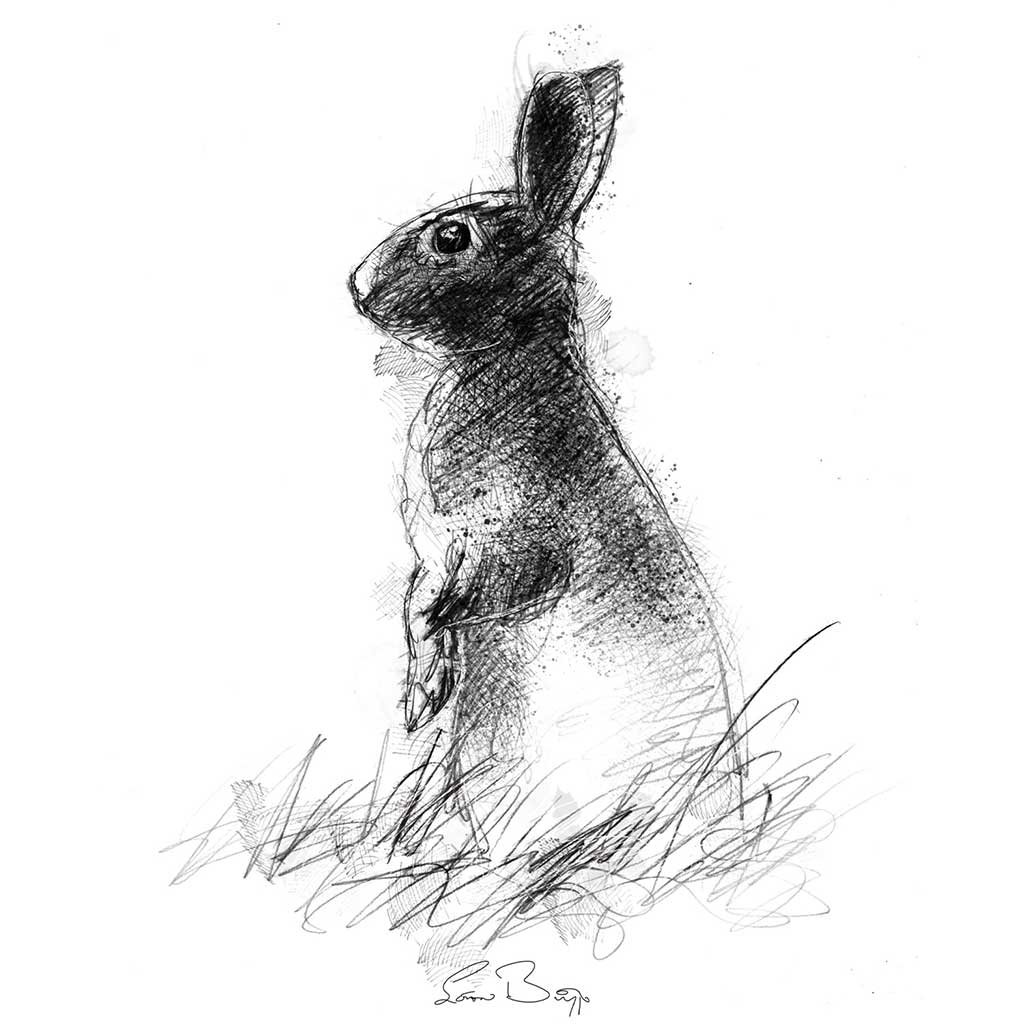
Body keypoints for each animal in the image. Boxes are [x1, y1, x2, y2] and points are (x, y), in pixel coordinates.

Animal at [349, 64, 747, 857]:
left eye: (451, 237)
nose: (357, 287)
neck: (506, 361)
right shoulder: (433, 548)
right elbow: (418, 602)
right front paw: (421, 692)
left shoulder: (511, 541)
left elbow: (463, 596)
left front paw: (422, 688)